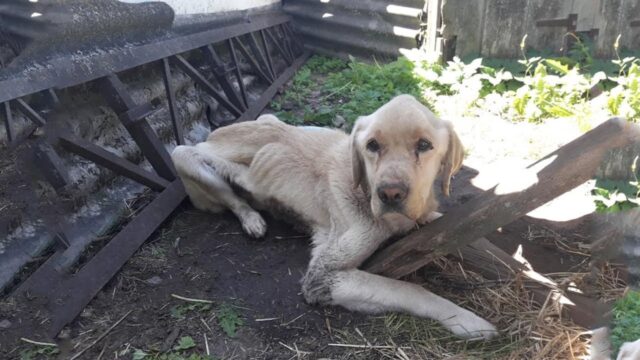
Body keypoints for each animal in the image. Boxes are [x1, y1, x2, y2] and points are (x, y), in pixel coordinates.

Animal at [172, 94, 498, 338]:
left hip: (270, 119)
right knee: (231, 195)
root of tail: (215, 131)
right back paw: (252, 218)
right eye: (372, 145)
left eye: (424, 145)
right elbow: (409, 289)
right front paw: (466, 319)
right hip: (186, 157)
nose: (390, 194)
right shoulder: (321, 277)